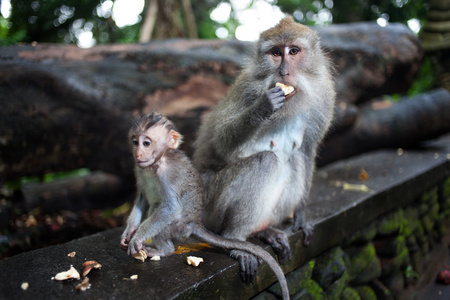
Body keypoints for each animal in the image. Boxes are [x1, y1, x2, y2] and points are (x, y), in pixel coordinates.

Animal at [119, 111, 288, 298]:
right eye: (135, 142)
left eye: (146, 143)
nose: (138, 153)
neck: (156, 162)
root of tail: (195, 223)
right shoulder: (139, 169)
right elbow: (142, 197)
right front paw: (129, 232)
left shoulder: (168, 172)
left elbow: (171, 207)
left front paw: (137, 238)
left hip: (180, 227)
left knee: (164, 219)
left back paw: (163, 250)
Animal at [192, 15, 336, 278]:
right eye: (276, 53)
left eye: (293, 51)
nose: (284, 71)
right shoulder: (246, 89)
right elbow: (220, 142)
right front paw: (262, 107)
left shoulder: (323, 97)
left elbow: (307, 152)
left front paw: (301, 214)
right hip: (210, 203)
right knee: (266, 161)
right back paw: (236, 241)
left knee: (294, 159)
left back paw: (263, 231)